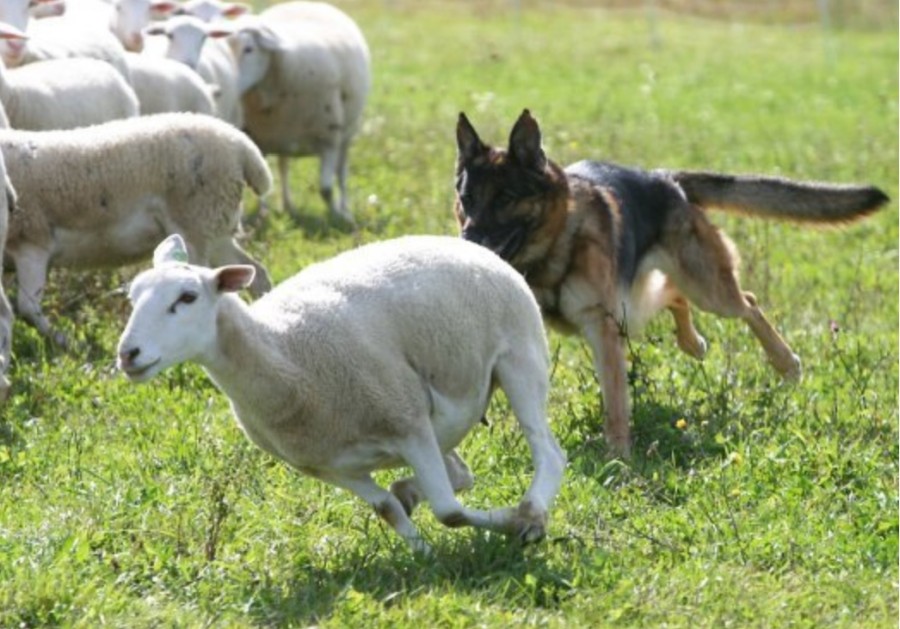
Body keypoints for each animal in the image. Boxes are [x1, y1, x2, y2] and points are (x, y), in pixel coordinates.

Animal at [230, 1, 374, 227]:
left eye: (249, 49)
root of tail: (307, 3)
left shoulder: (330, 138)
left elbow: (326, 189)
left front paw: (337, 217)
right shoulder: (257, 139)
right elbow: (260, 186)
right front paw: (260, 216)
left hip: (347, 134)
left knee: (342, 175)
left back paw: (345, 209)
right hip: (282, 138)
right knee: (283, 167)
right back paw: (287, 205)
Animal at [454, 109, 888, 456]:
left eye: (506, 197)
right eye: (468, 198)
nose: (467, 241)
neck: (554, 243)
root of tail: (664, 179)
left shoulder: (602, 326)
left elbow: (615, 402)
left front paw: (618, 457)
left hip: (706, 290)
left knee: (745, 301)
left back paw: (785, 363)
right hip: (643, 301)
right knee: (675, 295)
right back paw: (694, 343)